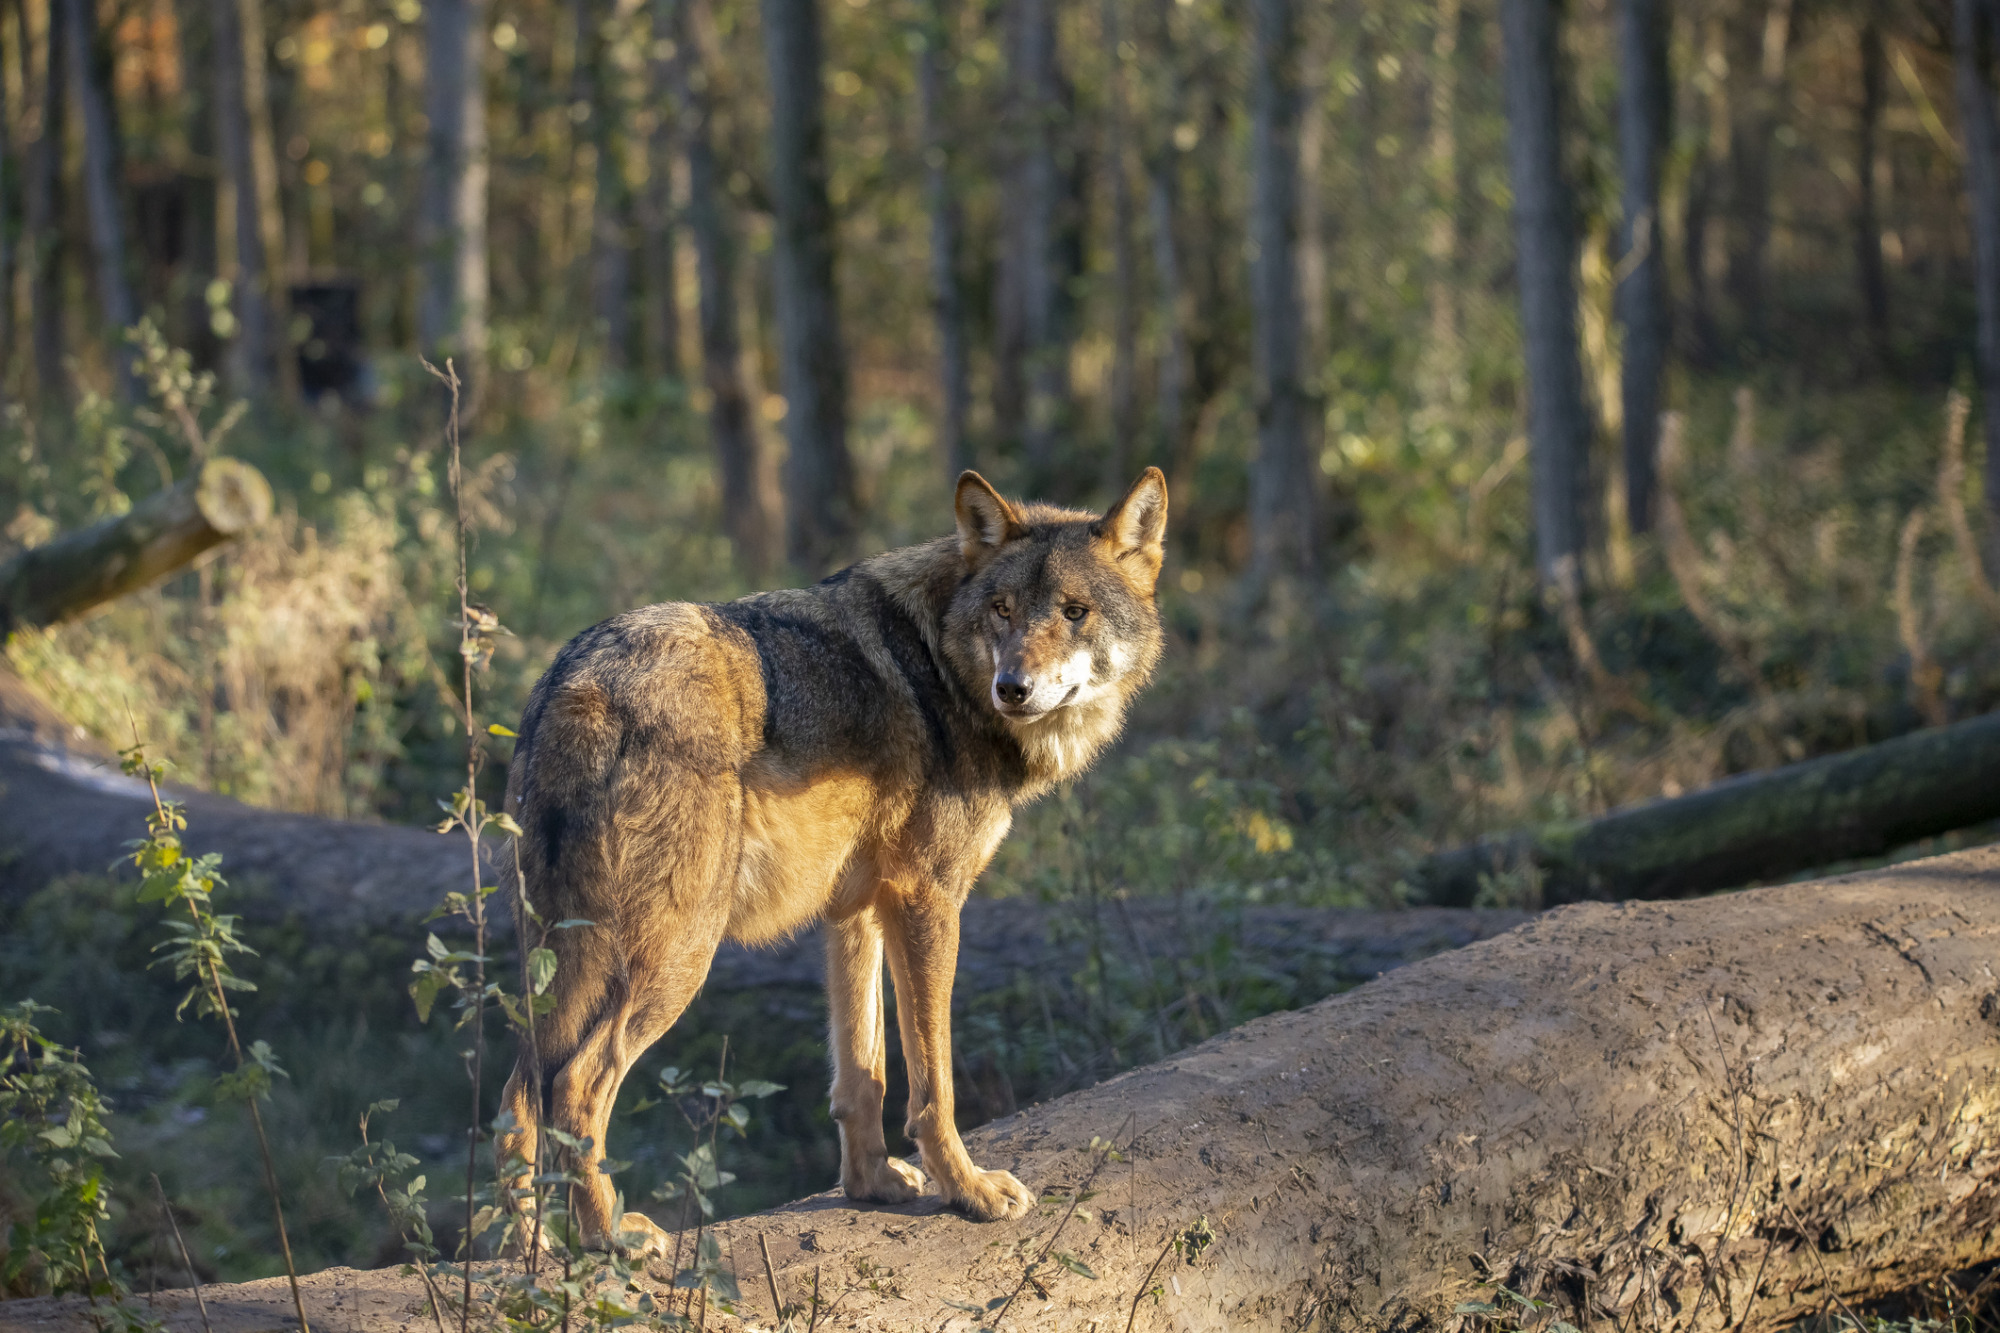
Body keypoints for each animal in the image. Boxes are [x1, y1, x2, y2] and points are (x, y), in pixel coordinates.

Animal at [496, 467, 1169, 1253]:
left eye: (1074, 611)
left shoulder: (857, 911)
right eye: (1002, 609)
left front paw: (871, 1186)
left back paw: (525, 1252)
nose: (1014, 687)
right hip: (675, 957)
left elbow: (862, 1073)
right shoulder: (928, 900)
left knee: (518, 1093)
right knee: (574, 1086)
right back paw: (611, 1236)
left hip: (567, 963)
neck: (940, 663)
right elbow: (933, 1077)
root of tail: (574, 682)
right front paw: (967, 1190)